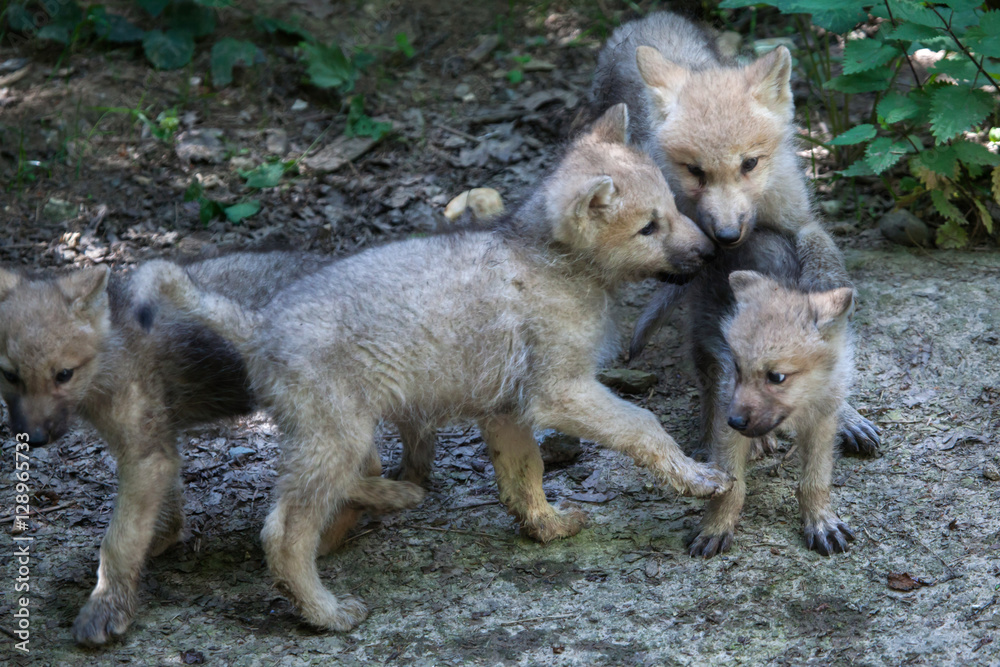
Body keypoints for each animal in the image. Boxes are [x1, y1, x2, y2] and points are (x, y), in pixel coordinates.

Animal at [0, 251, 424, 647]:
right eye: (10, 375)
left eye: (63, 374)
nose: (32, 438)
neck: (109, 352)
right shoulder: (157, 446)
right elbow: (162, 512)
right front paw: (160, 542)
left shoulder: (144, 454)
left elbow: (118, 541)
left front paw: (105, 607)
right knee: (359, 471)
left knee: (357, 471)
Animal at [131, 104, 731, 632]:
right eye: (648, 227)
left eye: (673, 208)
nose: (712, 252)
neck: (554, 262)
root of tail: (258, 324)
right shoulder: (560, 391)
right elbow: (642, 424)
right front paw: (699, 478)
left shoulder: (506, 410)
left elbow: (525, 474)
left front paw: (548, 526)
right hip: (336, 435)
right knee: (283, 532)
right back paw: (325, 611)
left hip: (334, 436)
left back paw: (388, 505)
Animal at [587, 11, 880, 455]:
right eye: (695, 171)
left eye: (750, 163)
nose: (726, 234)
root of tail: (650, 17)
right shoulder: (695, 252)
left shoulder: (799, 221)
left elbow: (820, 278)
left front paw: (842, 411)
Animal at [684, 231, 856, 557]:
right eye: (738, 368)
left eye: (776, 377)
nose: (736, 421)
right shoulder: (728, 406)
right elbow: (731, 485)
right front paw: (716, 526)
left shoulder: (823, 421)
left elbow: (815, 479)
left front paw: (821, 521)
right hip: (702, 342)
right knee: (707, 395)